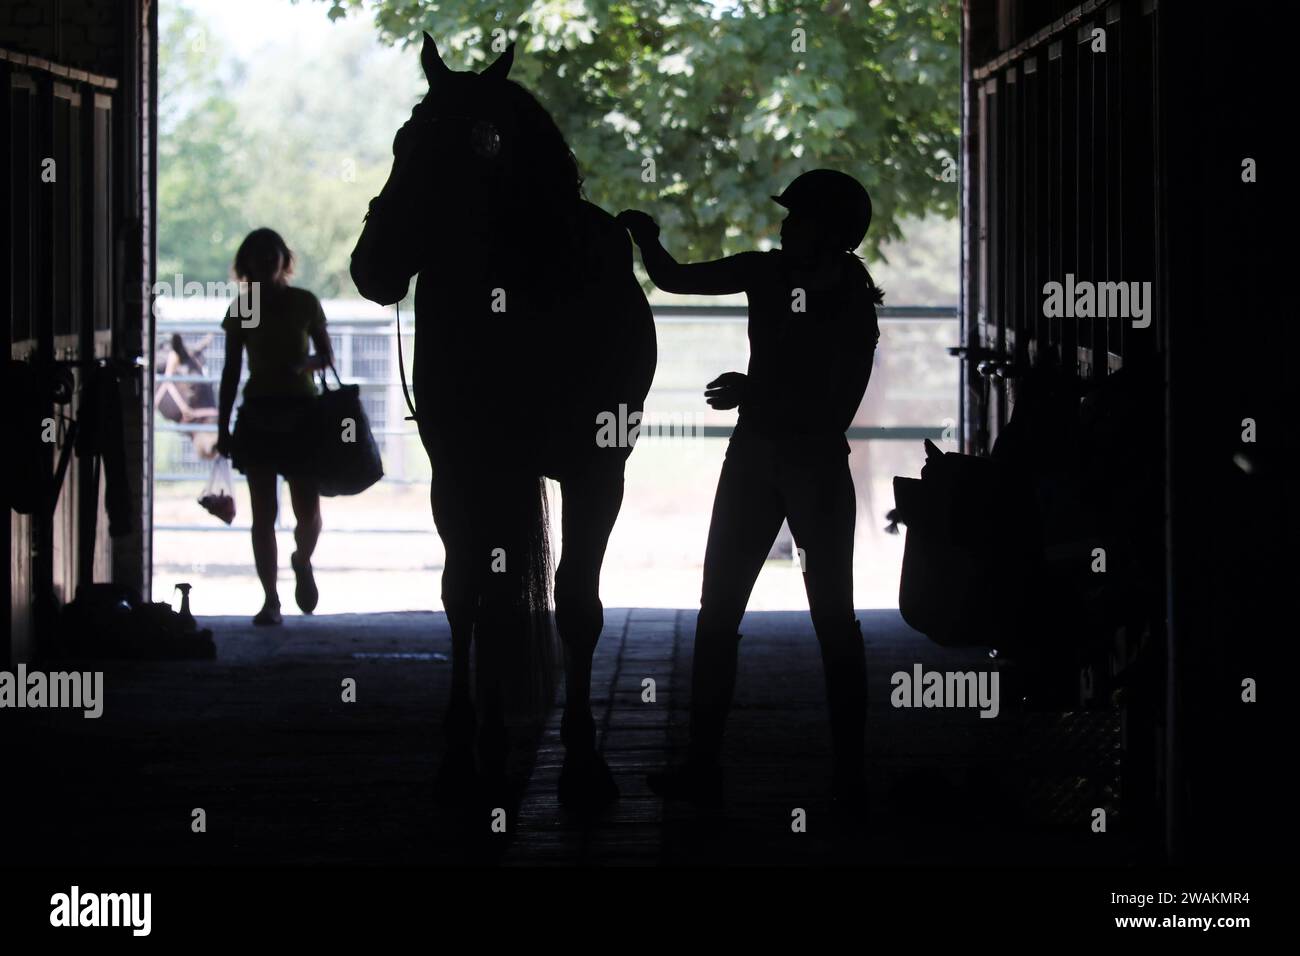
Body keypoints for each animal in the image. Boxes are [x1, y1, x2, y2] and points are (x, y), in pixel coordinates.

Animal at [351, 37, 655, 816]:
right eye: (401, 142)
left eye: (478, 145)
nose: (372, 265)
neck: (531, 301)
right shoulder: (462, 468)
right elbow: (468, 599)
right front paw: (460, 759)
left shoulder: (597, 473)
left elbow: (578, 604)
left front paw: (584, 766)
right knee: (481, 599)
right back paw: (483, 748)